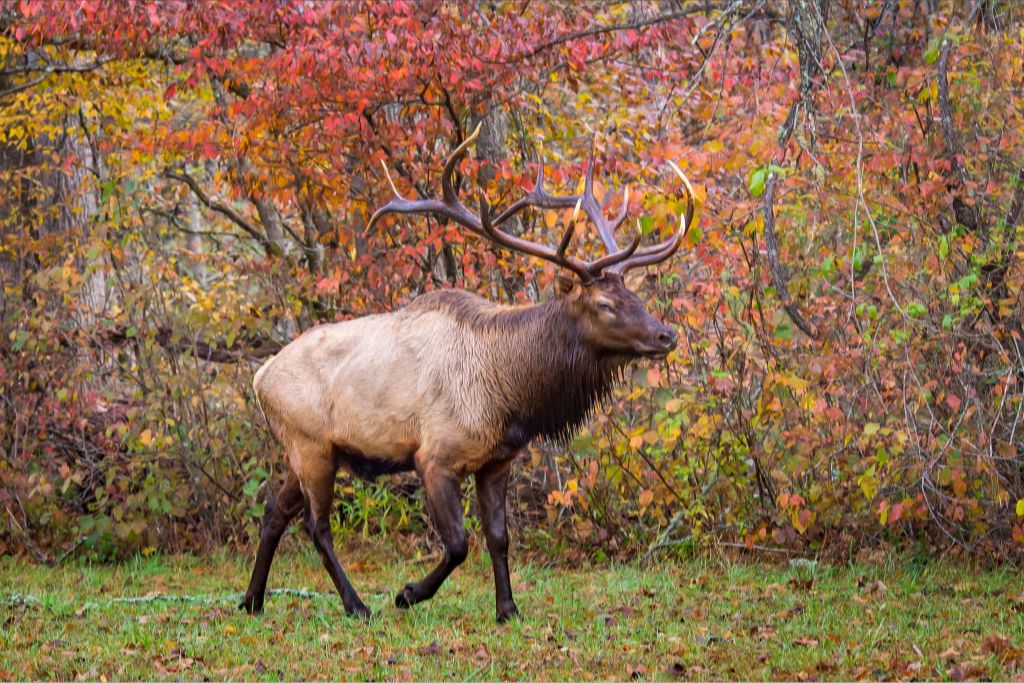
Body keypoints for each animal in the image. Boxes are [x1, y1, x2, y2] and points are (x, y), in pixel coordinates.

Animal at [240, 124, 696, 622]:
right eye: (605, 304)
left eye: (635, 297)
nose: (666, 335)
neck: (512, 395)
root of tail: (260, 378)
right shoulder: (434, 456)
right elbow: (459, 544)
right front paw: (409, 593)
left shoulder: (498, 461)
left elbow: (499, 537)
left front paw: (507, 609)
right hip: (312, 446)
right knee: (315, 524)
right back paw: (356, 604)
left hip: (305, 450)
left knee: (274, 511)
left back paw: (252, 600)